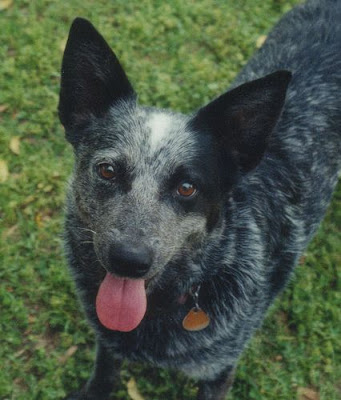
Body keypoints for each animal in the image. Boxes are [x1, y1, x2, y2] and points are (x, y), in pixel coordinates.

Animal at [57, 1, 338, 398]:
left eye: (187, 187)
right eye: (108, 170)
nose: (129, 260)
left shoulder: (220, 369)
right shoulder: (107, 342)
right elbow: (104, 371)